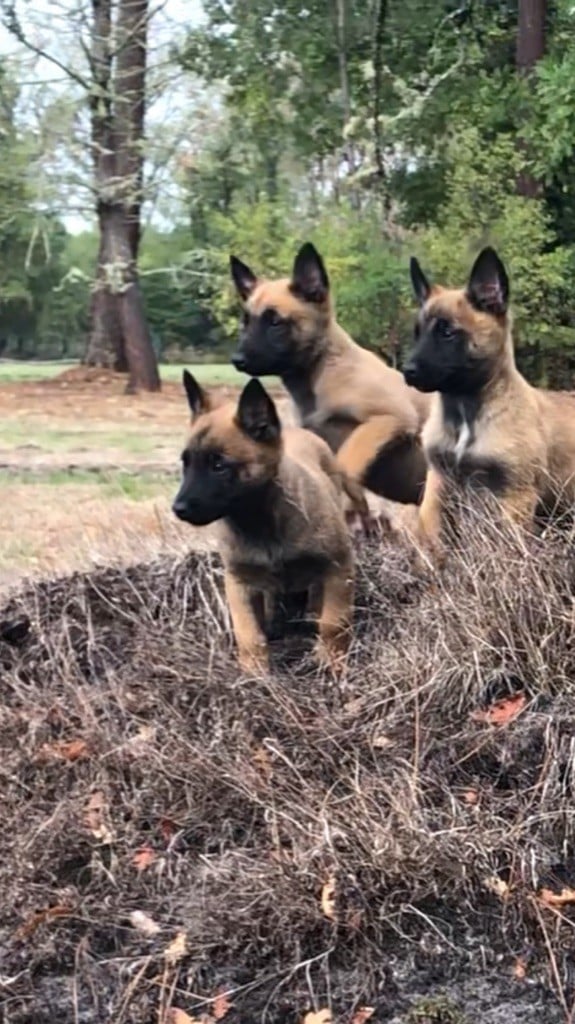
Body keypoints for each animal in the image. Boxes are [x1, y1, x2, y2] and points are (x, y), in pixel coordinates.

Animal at [170, 372, 366, 675]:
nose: (178, 509)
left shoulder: (338, 567)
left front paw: (332, 662)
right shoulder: (239, 582)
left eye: (219, 466)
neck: (260, 523)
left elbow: (333, 623)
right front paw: (254, 674)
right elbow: (249, 633)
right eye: (186, 463)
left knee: (316, 593)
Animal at [228, 244, 429, 507]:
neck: (323, 370)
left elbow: (347, 461)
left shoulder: (391, 417)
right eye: (246, 322)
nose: (237, 360)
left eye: (275, 322)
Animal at [403, 244, 575, 548]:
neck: (464, 411)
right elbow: (432, 545)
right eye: (417, 333)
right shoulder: (438, 484)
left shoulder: (514, 497)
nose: (407, 371)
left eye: (447, 332)